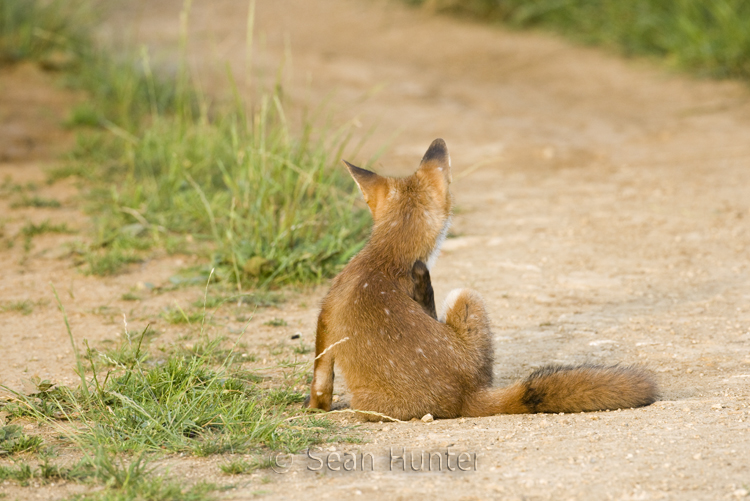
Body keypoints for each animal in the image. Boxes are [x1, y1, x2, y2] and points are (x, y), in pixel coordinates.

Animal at [306, 137, 656, 418]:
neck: (389, 256)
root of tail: (466, 395)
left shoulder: (325, 316)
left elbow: (321, 378)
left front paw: (314, 408)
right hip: (468, 303)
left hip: (463, 295)